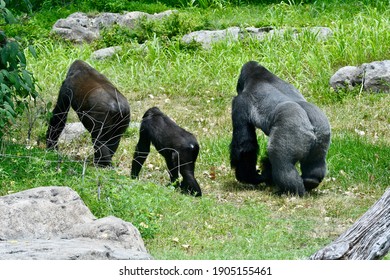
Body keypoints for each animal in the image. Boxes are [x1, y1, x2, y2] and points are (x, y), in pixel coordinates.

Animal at [230, 60, 330, 197]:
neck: (259, 77)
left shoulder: (240, 102)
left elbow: (245, 144)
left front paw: (249, 177)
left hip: (292, 132)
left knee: (282, 163)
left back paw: (291, 191)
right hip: (322, 132)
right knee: (316, 160)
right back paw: (311, 181)